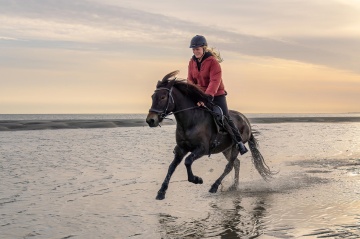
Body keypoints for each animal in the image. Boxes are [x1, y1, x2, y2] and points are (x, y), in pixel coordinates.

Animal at [146, 70, 272, 200]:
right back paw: (234, 186)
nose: (150, 120)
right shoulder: (181, 149)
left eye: (163, 97)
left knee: (230, 165)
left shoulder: (202, 149)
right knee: (236, 163)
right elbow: (171, 167)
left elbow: (188, 161)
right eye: (152, 97)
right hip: (226, 149)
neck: (191, 121)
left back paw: (215, 186)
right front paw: (161, 191)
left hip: (236, 147)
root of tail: (246, 120)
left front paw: (197, 179)